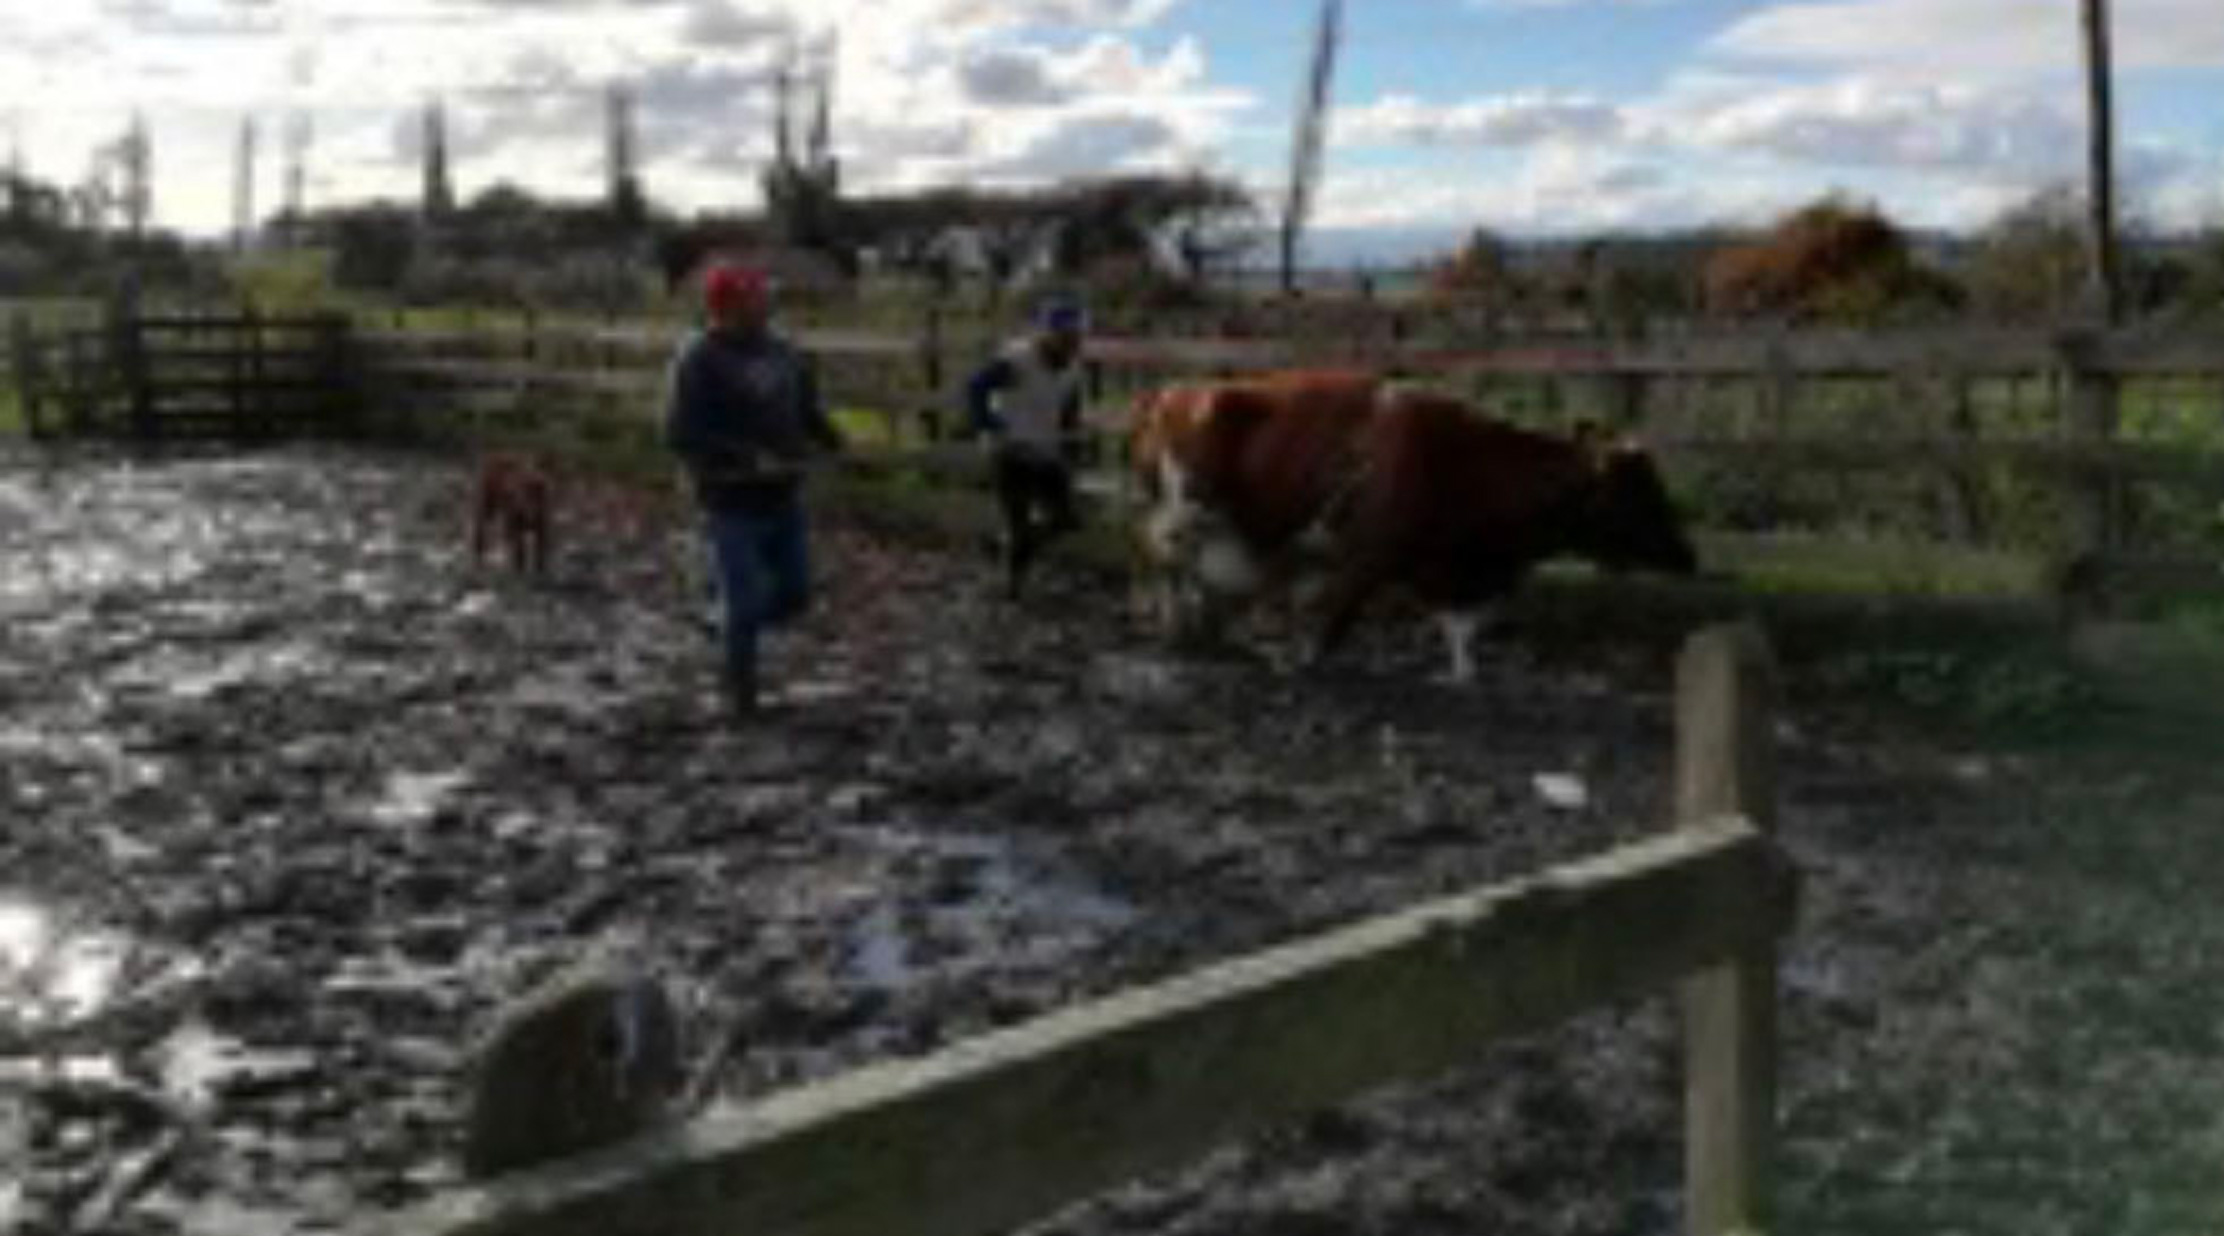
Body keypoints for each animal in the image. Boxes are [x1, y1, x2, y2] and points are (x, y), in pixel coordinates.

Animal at [1128, 373, 1699, 682]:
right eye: (1639, 496)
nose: (1688, 556)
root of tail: (1174, 390)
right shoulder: (1369, 556)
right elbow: (1335, 620)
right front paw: (1301, 661)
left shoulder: (1449, 567)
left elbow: (1461, 628)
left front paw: (1463, 675)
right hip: (1184, 511)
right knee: (1164, 558)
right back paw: (1179, 627)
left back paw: (1206, 628)